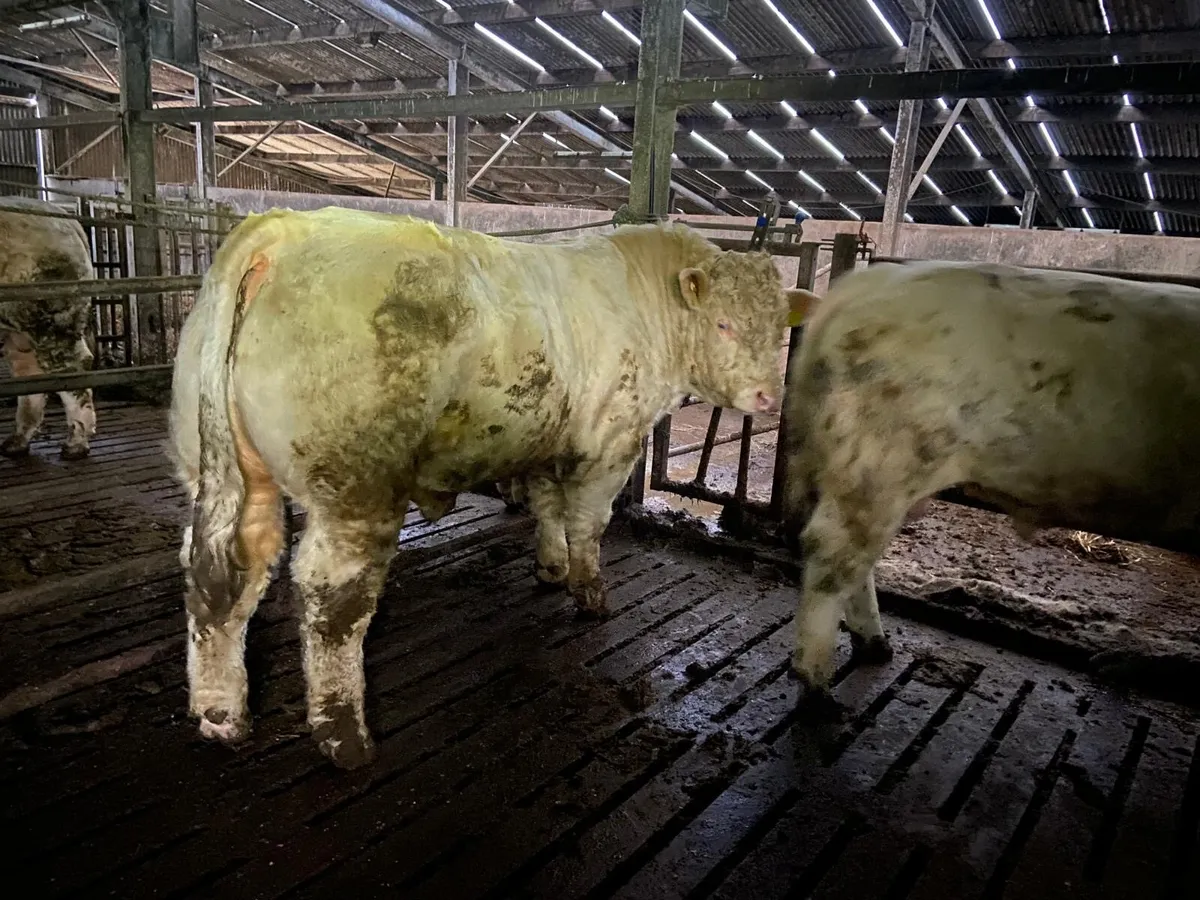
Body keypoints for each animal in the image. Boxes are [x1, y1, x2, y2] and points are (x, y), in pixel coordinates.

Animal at [0, 196, 97, 460]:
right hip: (18, 331)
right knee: (30, 375)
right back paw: (15, 443)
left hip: (49, 316)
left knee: (72, 367)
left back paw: (74, 445)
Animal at [169, 206, 802, 768]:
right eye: (723, 323)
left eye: (780, 333)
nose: (769, 397)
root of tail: (281, 229)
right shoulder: (612, 443)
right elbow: (588, 521)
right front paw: (589, 591)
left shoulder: (546, 437)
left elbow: (546, 506)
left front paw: (550, 567)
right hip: (357, 486)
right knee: (334, 599)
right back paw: (345, 738)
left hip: (226, 473)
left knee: (224, 575)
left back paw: (221, 716)